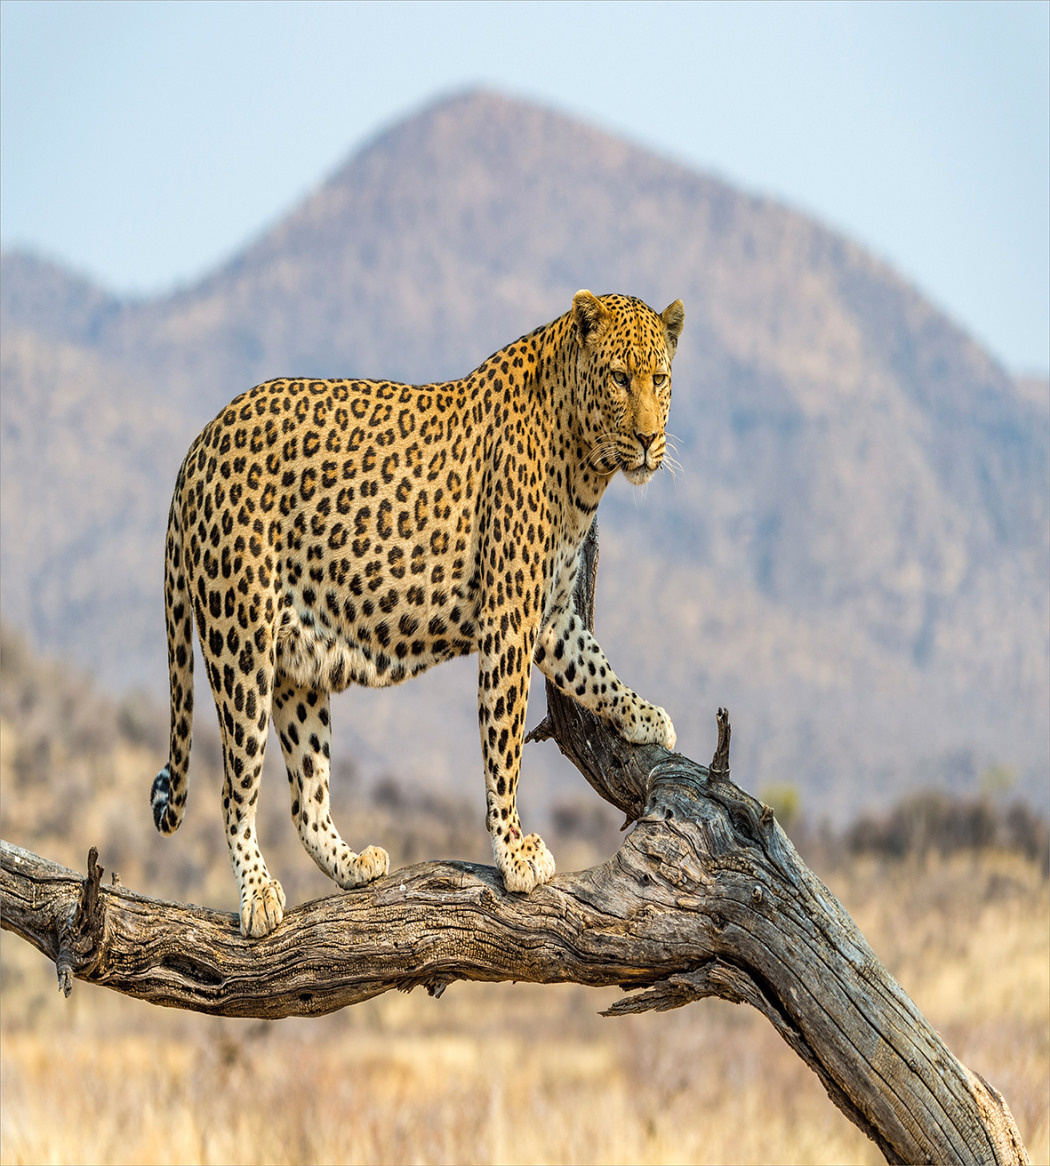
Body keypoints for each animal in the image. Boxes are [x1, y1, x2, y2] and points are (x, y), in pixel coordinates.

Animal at [151, 291, 685, 937]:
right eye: (619, 377)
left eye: (660, 379)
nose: (650, 439)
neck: (584, 466)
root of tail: (199, 442)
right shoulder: (509, 620)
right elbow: (503, 745)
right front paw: (514, 853)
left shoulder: (552, 617)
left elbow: (596, 670)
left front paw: (647, 717)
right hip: (241, 646)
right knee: (235, 791)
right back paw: (257, 895)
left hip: (298, 668)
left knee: (307, 798)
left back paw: (354, 865)